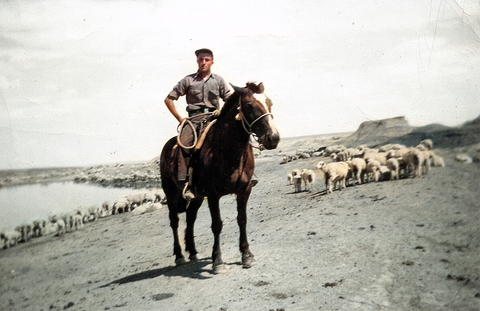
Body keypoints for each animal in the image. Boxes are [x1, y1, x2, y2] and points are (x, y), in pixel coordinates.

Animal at [160, 81, 280, 274]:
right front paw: (217, 261)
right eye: (248, 105)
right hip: (171, 193)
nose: (273, 138)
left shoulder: (244, 190)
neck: (227, 150)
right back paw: (179, 256)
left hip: (197, 197)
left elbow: (242, 220)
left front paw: (247, 255)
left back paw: (193, 252)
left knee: (190, 217)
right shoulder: (213, 194)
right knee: (175, 221)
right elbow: (217, 224)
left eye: (270, 103)